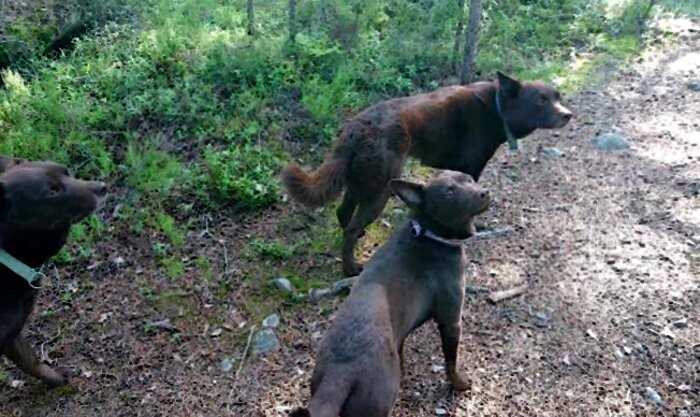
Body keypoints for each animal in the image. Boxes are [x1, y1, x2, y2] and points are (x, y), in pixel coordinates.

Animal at [0, 157, 106, 386]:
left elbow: (31, 361)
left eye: (66, 171)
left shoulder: (11, 333)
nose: (103, 187)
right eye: (52, 191)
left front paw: (56, 378)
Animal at [282, 72, 572, 276]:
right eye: (541, 100)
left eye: (558, 96)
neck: (497, 107)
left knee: (343, 213)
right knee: (351, 227)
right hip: (381, 189)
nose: (568, 115)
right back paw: (350, 269)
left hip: (361, 180)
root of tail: (355, 128)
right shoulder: (470, 167)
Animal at [290, 170, 492, 416]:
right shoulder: (451, 321)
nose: (484, 193)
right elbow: (451, 362)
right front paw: (461, 384)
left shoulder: (402, 330)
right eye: (449, 192)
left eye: (469, 179)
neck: (428, 233)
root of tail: (338, 374)